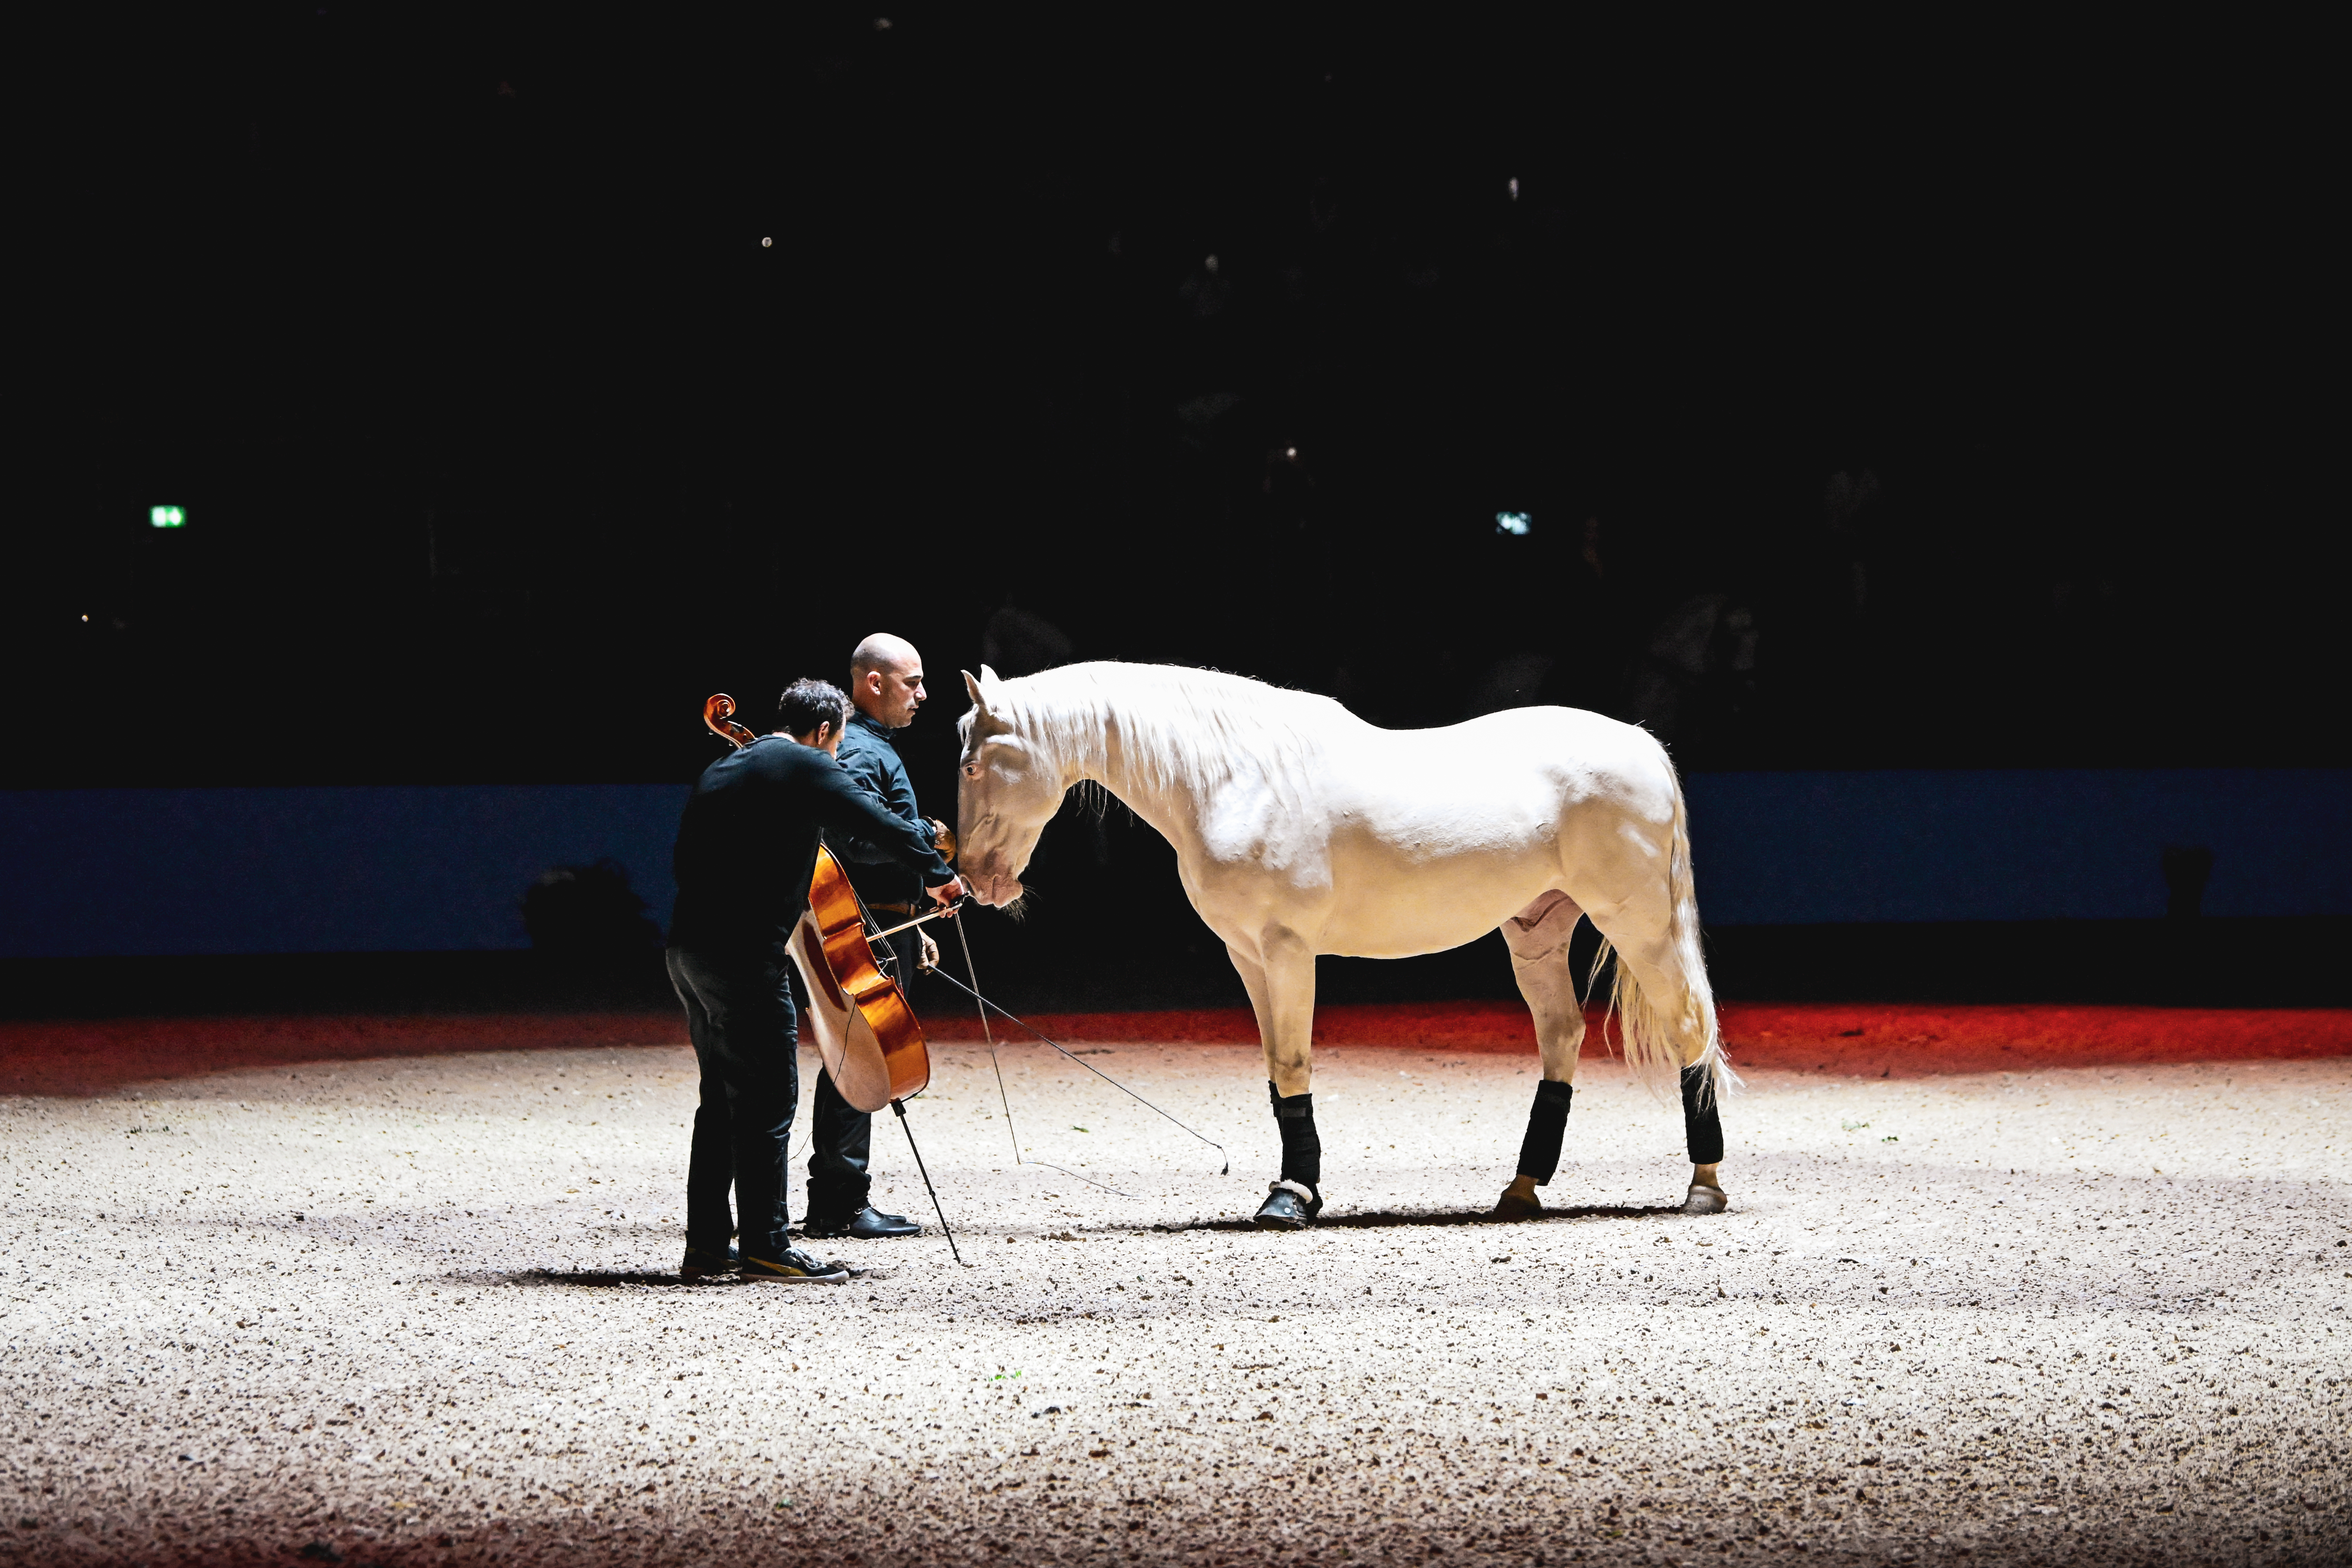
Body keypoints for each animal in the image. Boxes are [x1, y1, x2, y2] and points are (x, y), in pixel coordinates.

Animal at [952, 661, 1733, 1228]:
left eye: (971, 767)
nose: (976, 880)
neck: (1235, 779)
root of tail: (1643, 745)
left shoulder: (1286, 950)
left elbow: (1294, 1062)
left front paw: (1290, 1197)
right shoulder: (1247, 956)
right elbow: (1276, 1072)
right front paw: (1293, 1187)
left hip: (1638, 923)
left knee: (1687, 1027)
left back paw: (1703, 1186)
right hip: (1537, 932)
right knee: (1563, 1035)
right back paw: (1520, 1190)